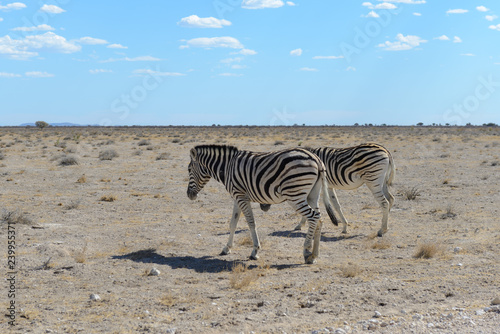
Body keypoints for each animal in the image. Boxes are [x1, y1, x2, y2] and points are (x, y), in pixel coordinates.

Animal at [188, 145, 340, 264]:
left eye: (189, 170)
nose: (189, 195)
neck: (226, 167)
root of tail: (316, 159)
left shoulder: (241, 197)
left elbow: (250, 222)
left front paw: (255, 251)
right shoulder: (237, 197)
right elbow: (233, 223)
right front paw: (227, 248)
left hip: (294, 194)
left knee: (314, 217)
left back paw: (306, 251)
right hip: (312, 194)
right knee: (319, 219)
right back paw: (314, 255)